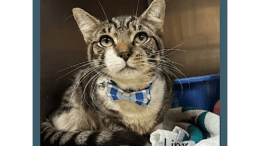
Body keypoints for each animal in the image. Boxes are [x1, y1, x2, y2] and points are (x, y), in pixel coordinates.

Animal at [41, 0, 179, 145]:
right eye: (106, 40)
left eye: (141, 37)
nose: (124, 53)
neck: (132, 93)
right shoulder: (108, 120)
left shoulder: (161, 112)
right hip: (71, 113)